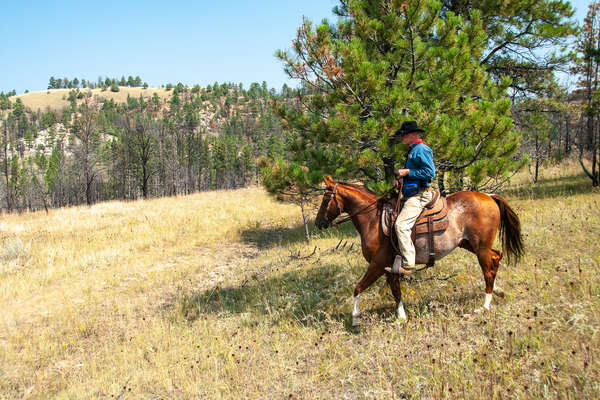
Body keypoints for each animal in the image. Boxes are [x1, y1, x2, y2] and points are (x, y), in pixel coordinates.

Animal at [316, 177, 524, 324]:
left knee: (488, 271)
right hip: (470, 244)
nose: (318, 223)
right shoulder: (389, 267)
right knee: (496, 257)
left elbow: (358, 288)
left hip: (480, 247)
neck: (373, 220)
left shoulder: (378, 265)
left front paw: (355, 318)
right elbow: (396, 291)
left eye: (325, 199)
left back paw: (485, 306)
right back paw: (498, 291)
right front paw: (401, 316)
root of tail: (489, 197)